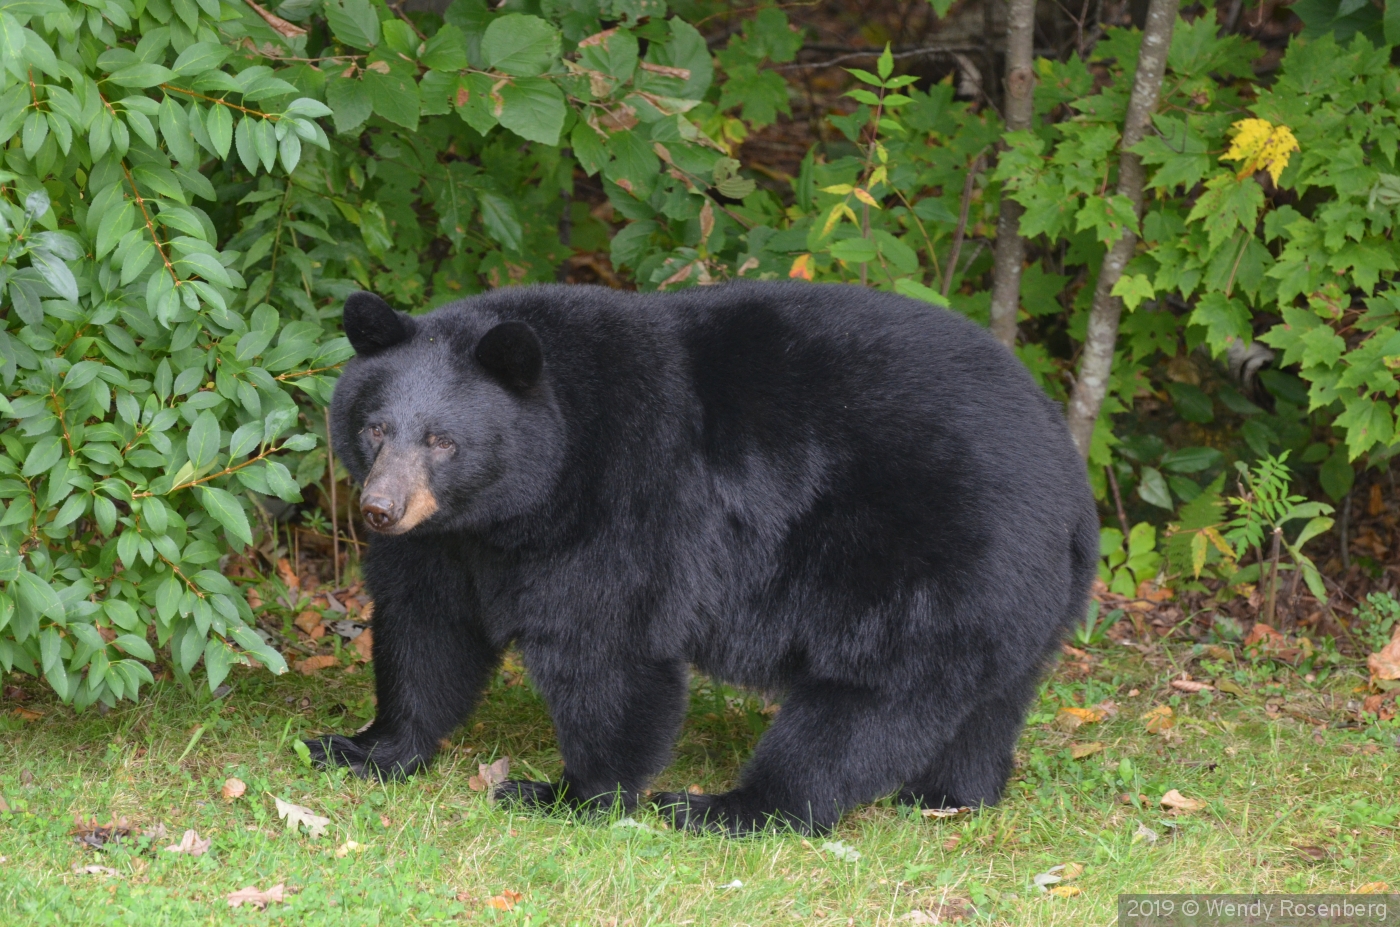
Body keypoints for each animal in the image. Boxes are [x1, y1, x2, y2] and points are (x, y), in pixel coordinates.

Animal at [303, 280, 1092, 840]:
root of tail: (1070, 478)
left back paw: (726, 807)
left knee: (868, 701)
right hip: (1009, 594)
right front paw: (363, 746)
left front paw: (564, 793)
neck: (514, 507)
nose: (380, 508)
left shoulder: (625, 502)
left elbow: (607, 650)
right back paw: (951, 796)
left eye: (442, 440)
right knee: (987, 701)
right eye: (375, 427)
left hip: (929, 560)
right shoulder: (445, 544)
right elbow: (427, 629)